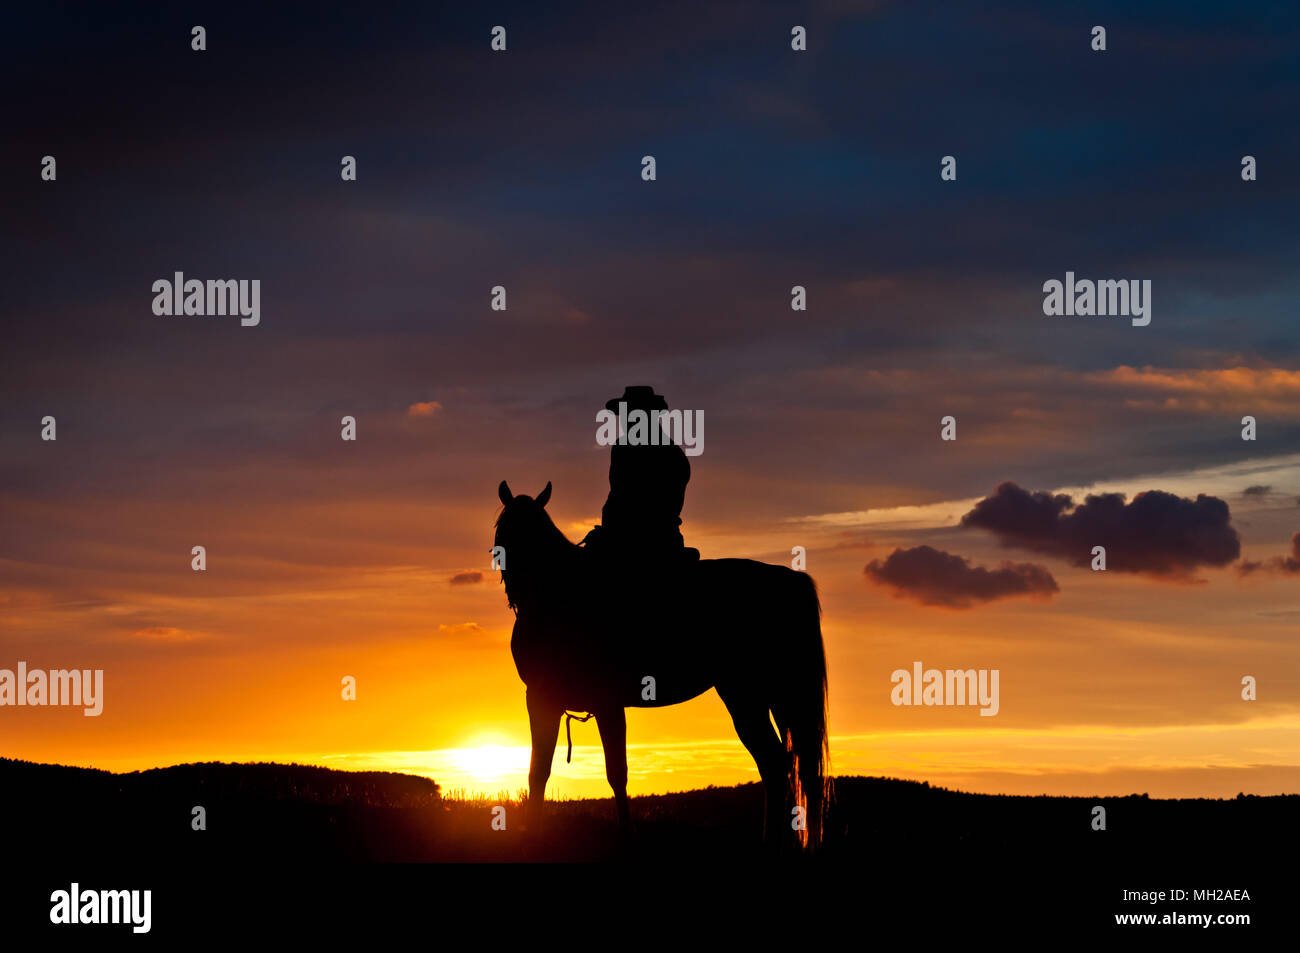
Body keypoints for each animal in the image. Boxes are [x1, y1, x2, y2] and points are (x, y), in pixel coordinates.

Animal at [494, 480, 829, 849]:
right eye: (502, 534)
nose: (519, 594)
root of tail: (789, 581)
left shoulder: (606, 702)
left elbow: (616, 772)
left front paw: (626, 836)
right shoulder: (543, 699)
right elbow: (538, 770)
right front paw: (533, 835)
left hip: (753, 695)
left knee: (784, 764)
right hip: (770, 697)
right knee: (784, 765)